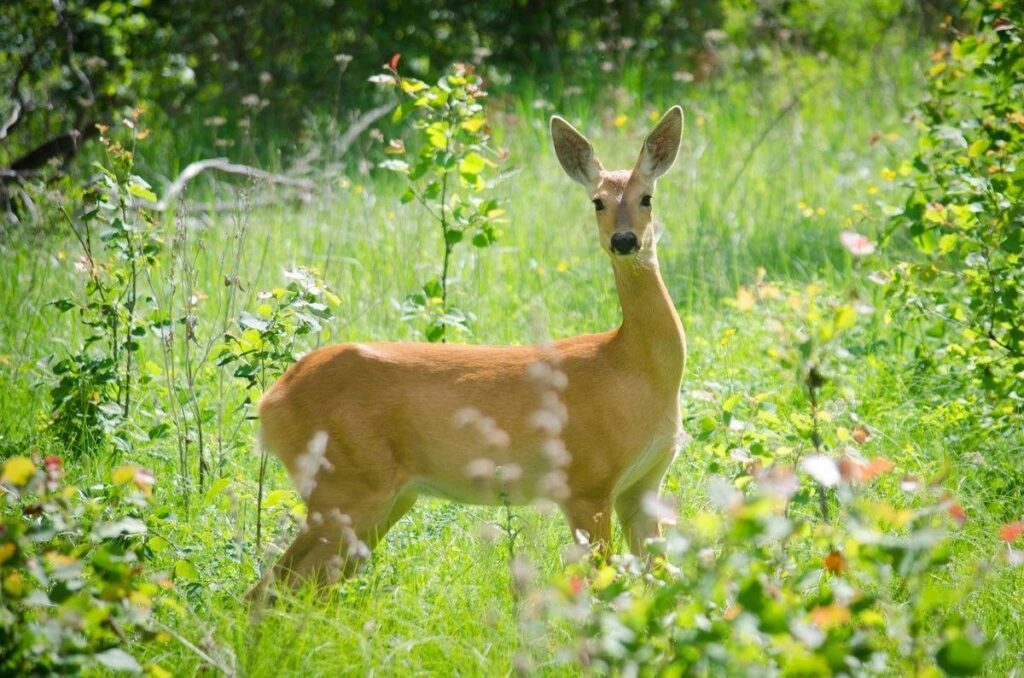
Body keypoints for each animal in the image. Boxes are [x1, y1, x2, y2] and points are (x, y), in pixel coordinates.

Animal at [252, 107, 688, 602]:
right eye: (597, 201)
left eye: (647, 197)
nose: (625, 240)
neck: (633, 368)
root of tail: (271, 400)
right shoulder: (585, 480)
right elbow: (603, 589)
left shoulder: (644, 486)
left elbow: (663, 584)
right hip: (345, 484)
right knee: (272, 587)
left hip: (381, 497)